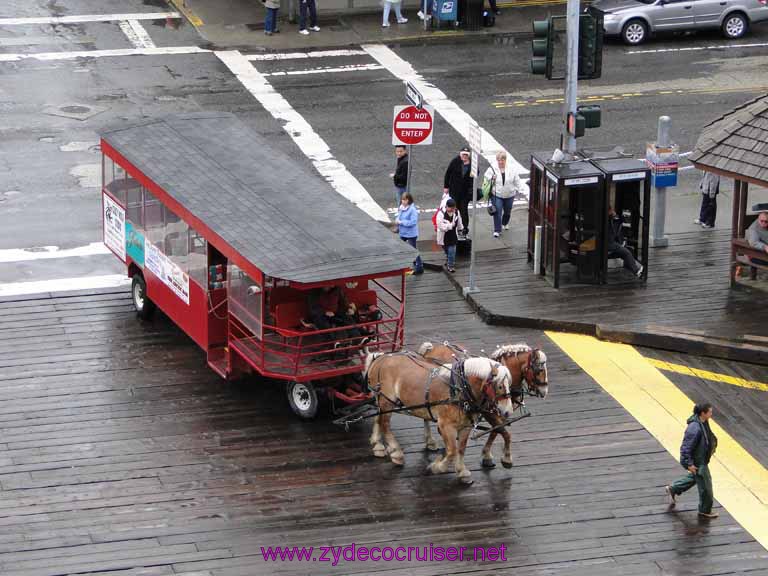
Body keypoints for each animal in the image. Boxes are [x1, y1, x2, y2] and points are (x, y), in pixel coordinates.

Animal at [364, 354, 512, 484]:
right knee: (384, 424)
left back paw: (377, 445)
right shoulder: (445, 425)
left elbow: (461, 449)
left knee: (378, 418)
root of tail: (381, 358)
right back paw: (396, 453)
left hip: (382, 401)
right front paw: (436, 467)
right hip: (387, 401)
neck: (459, 389)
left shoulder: (466, 426)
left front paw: (462, 472)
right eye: (499, 386)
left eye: (509, 384)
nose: (508, 411)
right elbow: (452, 451)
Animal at [416, 342, 548, 468]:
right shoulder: (488, 412)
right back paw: (430, 441)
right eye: (540, 370)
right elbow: (503, 432)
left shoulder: (500, 413)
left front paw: (487, 455)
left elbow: (496, 431)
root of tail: (430, 349)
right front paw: (505, 458)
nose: (544, 391)